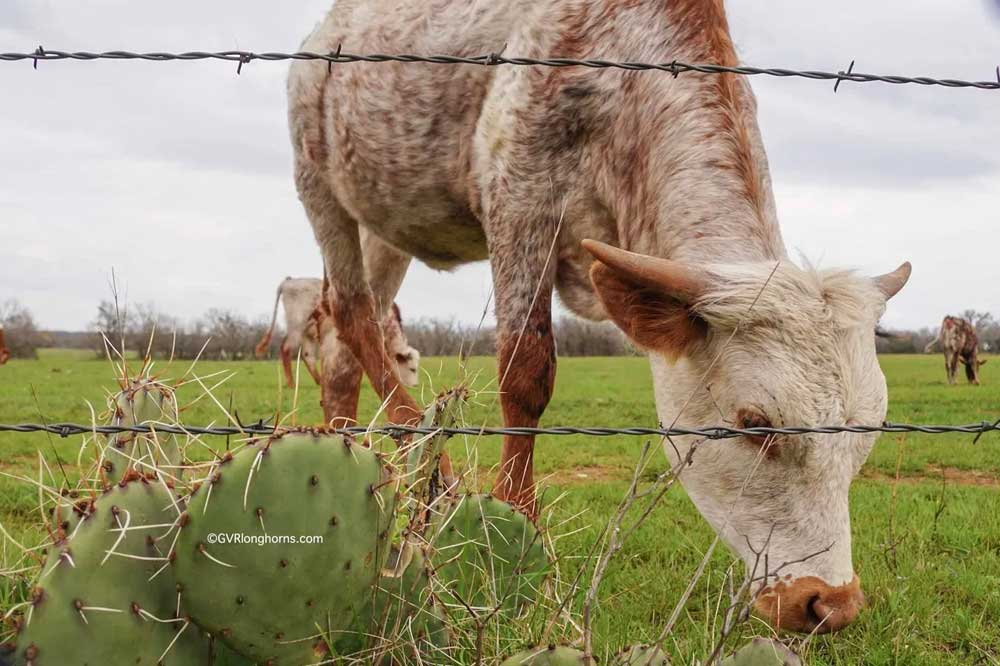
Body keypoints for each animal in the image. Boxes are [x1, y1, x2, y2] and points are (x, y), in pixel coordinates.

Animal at [256, 274, 420, 390]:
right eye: (412, 369)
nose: (415, 386)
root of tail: (288, 282)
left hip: (307, 332)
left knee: (307, 355)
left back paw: (320, 382)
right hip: (296, 326)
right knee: (285, 349)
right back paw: (291, 384)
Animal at [292, 0, 916, 632]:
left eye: (870, 432)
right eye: (755, 423)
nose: (829, 602)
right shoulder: (519, 202)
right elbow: (526, 374)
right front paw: (515, 526)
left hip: (381, 229)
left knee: (346, 346)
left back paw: (357, 450)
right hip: (320, 188)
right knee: (349, 309)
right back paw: (428, 464)